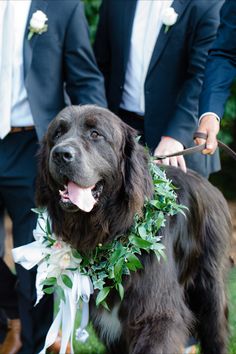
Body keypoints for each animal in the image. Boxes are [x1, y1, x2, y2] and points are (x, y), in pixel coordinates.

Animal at [36, 105, 230, 354]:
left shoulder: (155, 315)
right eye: (57, 134)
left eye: (95, 134)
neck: (115, 229)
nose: (61, 154)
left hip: (210, 287)